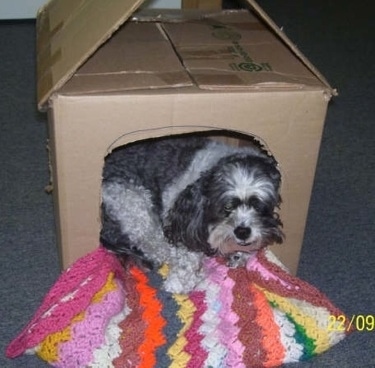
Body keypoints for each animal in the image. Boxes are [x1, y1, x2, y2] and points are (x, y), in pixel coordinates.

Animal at [101, 135, 284, 294]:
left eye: (259, 206)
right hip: (133, 205)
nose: (242, 231)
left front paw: (240, 255)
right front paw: (179, 281)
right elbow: (186, 255)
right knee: (156, 248)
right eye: (226, 207)